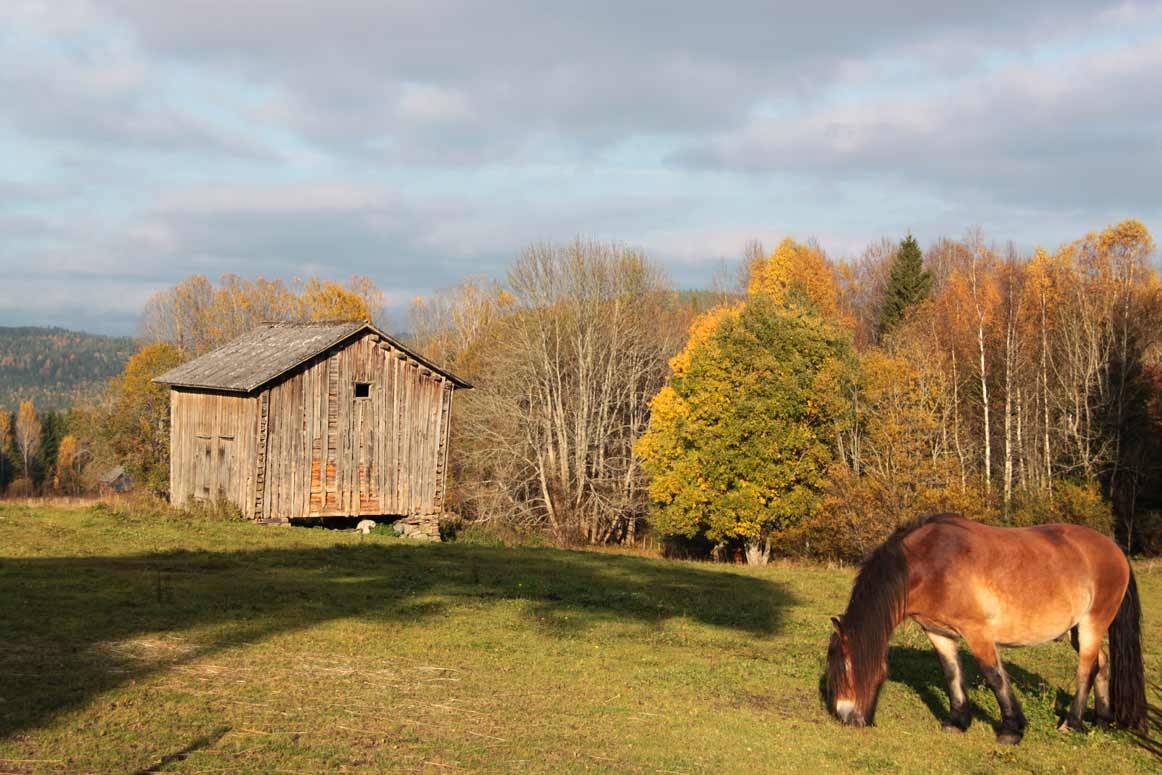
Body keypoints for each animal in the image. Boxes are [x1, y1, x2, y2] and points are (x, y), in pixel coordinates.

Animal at [822, 515, 1148, 743]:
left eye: (845, 668)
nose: (844, 717)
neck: (932, 565)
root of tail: (1115, 549)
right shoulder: (939, 633)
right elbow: (952, 674)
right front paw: (957, 722)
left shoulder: (978, 633)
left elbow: (994, 677)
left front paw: (1012, 730)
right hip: (1075, 630)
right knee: (1102, 663)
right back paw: (1102, 720)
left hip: (1094, 622)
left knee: (1085, 669)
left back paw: (1071, 723)